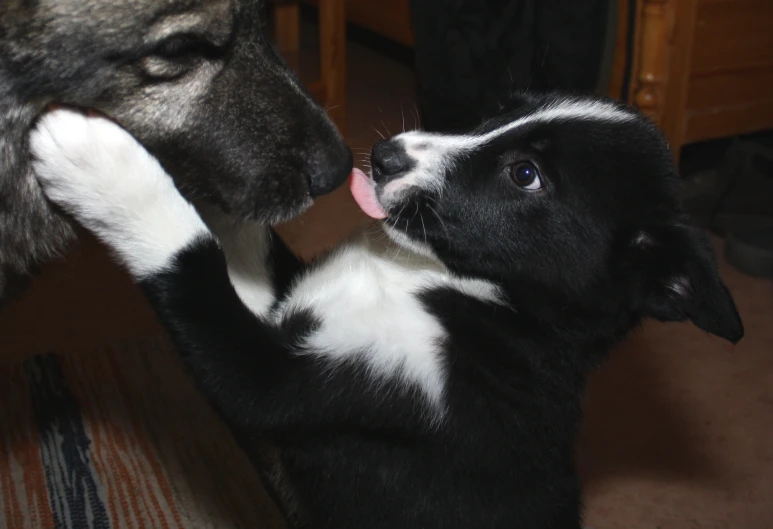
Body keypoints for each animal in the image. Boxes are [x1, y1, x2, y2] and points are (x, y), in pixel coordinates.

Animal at [28, 95, 740, 528]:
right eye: (503, 110)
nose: (386, 156)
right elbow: (241, 239)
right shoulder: (287, 311)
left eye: (525, 175)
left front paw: (101, 163)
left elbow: (191, 263)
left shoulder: (289, 384)